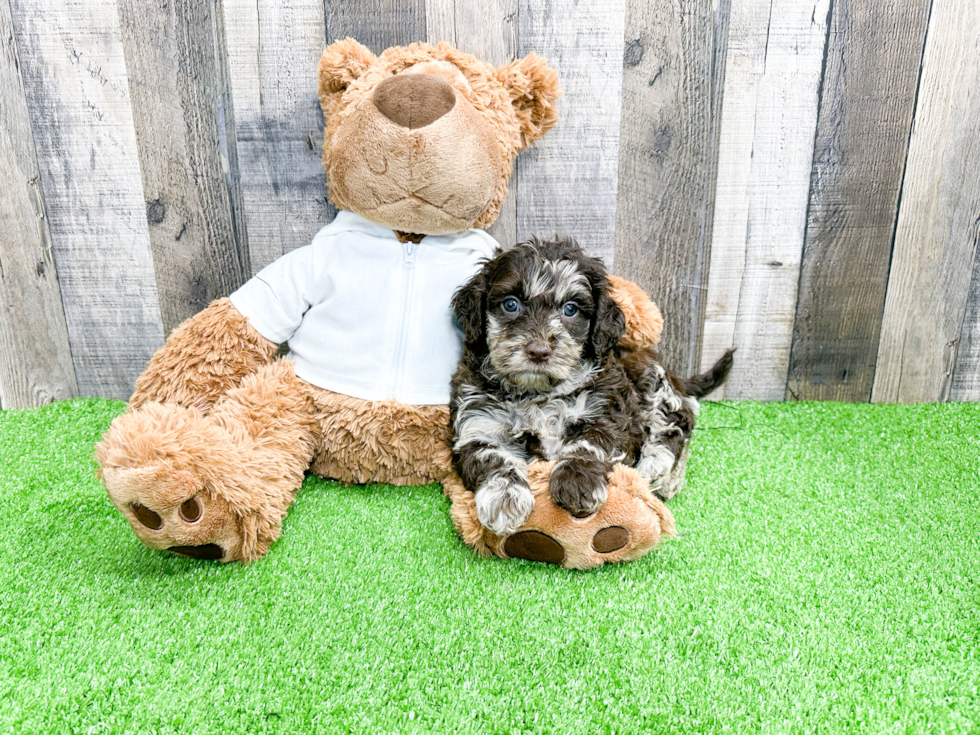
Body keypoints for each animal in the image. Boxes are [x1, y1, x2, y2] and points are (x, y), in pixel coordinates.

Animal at [448, 239, 732, 536]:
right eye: (511, 304)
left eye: (570, 309)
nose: (539, 351)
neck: (538, 393)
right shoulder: (477, 423)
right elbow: (492, 457)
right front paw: (505, 499)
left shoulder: (609, 411)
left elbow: (589, 443)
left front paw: (577, 482)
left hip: (652, 381)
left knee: (679, 418)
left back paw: (660, 467)